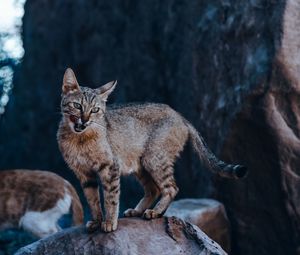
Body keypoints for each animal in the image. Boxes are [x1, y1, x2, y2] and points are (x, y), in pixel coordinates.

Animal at [56, 67, 246, 233]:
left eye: (95, 110)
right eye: (77, 106)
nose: (85, 120)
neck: (79, 139)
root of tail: (180, 115)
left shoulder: (110, 167)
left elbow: (111, 198)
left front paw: (109, 222)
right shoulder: (84, 173)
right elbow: (92, 200)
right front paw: (96, 221)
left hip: (154, 158)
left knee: (171, 188)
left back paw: (156, 212)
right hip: (140, 164)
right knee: (153, 189)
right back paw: (138, 210)